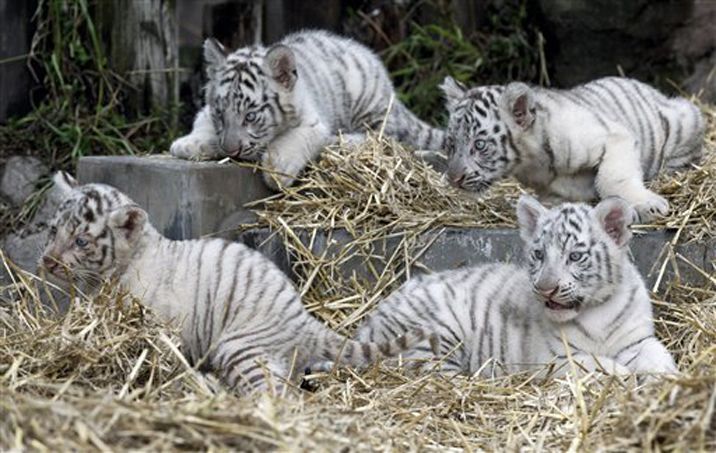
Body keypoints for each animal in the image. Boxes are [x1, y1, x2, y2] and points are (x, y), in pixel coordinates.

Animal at [39, 172, 438, 395]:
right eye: (53, 230)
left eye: (81, 241)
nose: (47, 261)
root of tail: (301, 319)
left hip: (240, 348)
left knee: (275, 395)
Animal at [170, 29, 444, 189]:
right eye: (220, 113)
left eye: (251, 116)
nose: (231, 151)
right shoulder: (206, 112)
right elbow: (202, 123)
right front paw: (188, 144)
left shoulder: (314, 122)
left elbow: (295, 140)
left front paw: (277, 170)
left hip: (369, 104)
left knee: (384, 138)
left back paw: (341, 141)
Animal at [349, 195, 677, 378]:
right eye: (539, 254)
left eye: (575, 256)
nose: (545, 289)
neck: (596, 312)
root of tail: (370, 320)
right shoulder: (554, 359)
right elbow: (595, 365)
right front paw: (623, 376)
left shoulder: (638, 341)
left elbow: (659, 357)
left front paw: (666, 379)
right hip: (434, 332)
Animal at [440, 76, 705, 222]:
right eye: (452, 144)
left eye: (479, 144)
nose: (454, 179)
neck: (532, 163)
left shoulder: (614, 136)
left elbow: (612, 178)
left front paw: (648, 206)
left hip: (684, 117)